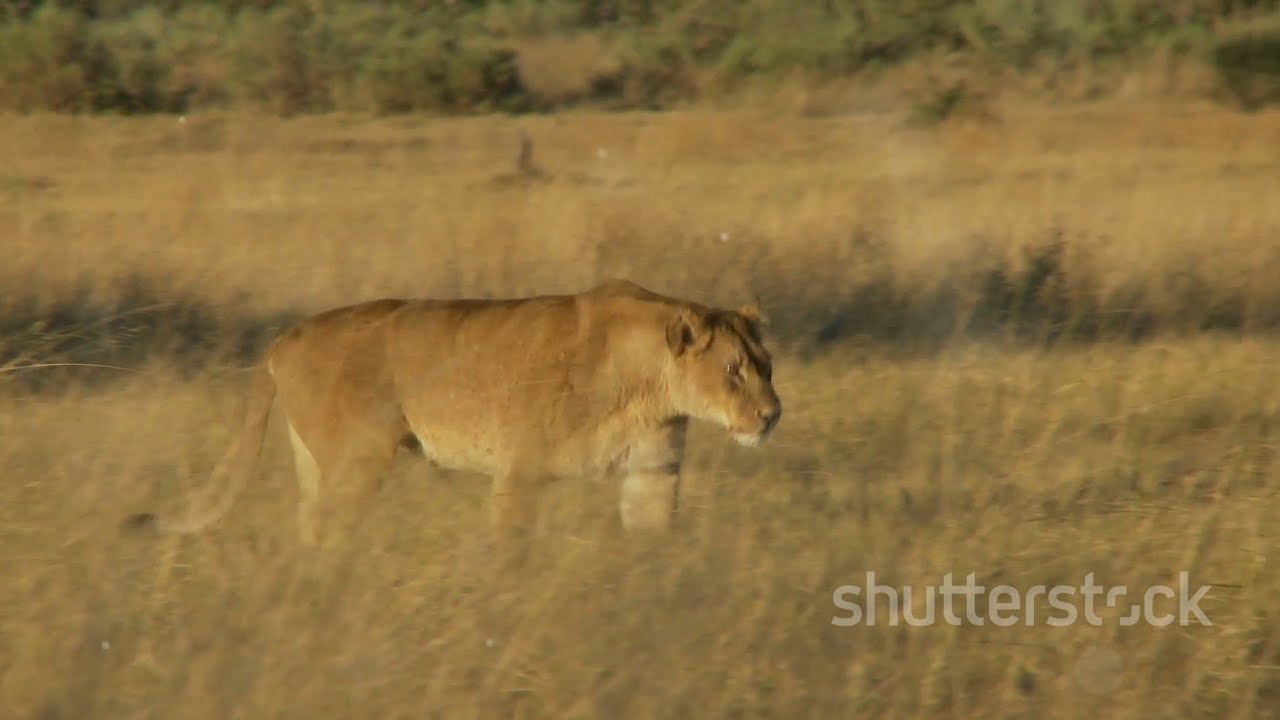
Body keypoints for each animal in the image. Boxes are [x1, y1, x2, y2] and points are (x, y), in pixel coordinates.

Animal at [123, 279, 782, 546]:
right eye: (732, 369)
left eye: (766, 364)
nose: (772, 416)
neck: (648, 387)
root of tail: (281, 340)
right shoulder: (518, 471)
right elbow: (510, 553)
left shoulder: (652, 473)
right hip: (359, 459)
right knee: (333, 531)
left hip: (314, 462)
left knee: (309, 529)